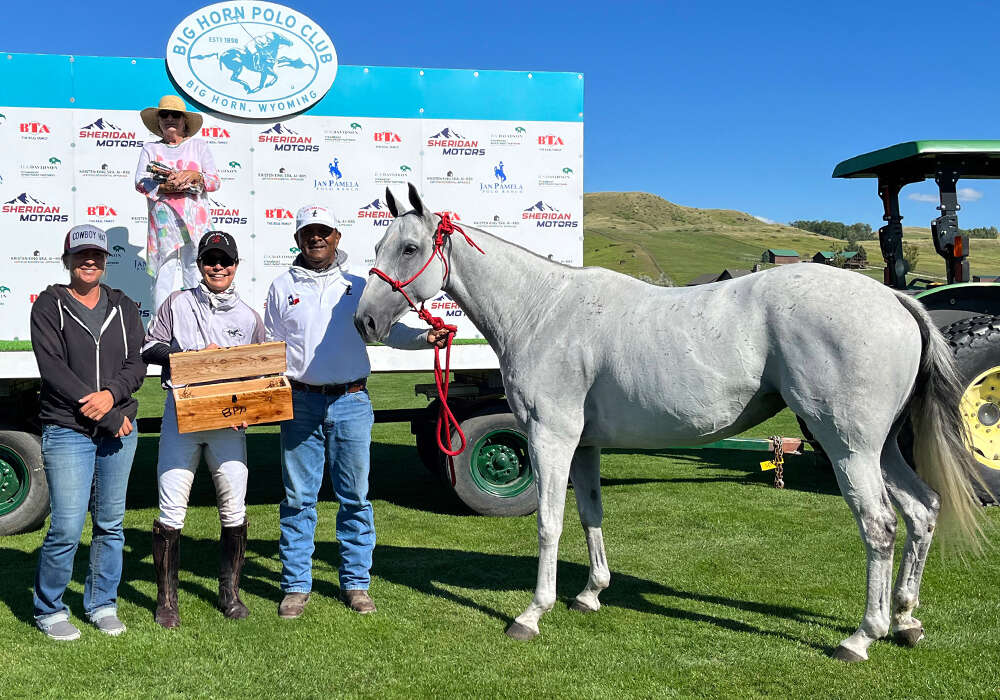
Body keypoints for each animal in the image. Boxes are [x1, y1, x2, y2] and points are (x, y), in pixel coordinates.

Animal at [354, 185, 984, 660]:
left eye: (409, 247)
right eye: (379, 243)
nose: (365, 322)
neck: (543, 311)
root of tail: (895, 300)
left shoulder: (550, 439)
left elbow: (550, 525)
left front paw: (532, 613)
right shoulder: (584, 446)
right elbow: (590, 516)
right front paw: (591, 594)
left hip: (849, 449)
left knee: (881, 526)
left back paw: (862, 637)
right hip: (883, 448)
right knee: (923, 510)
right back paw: (905, 621)